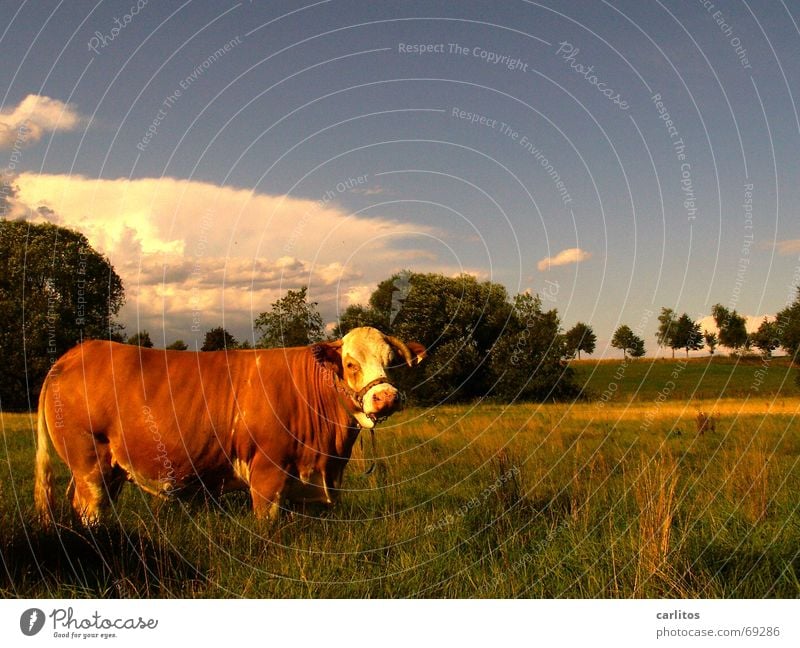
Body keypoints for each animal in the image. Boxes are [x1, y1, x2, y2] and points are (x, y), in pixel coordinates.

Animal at [34, 326, 424, 524]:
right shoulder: (268, 471)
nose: (386, 398)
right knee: (90, 507)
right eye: (350, 364)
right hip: (89, 461)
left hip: (111, 467)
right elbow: (268, 527)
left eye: (392, 361)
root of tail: (77, 353)